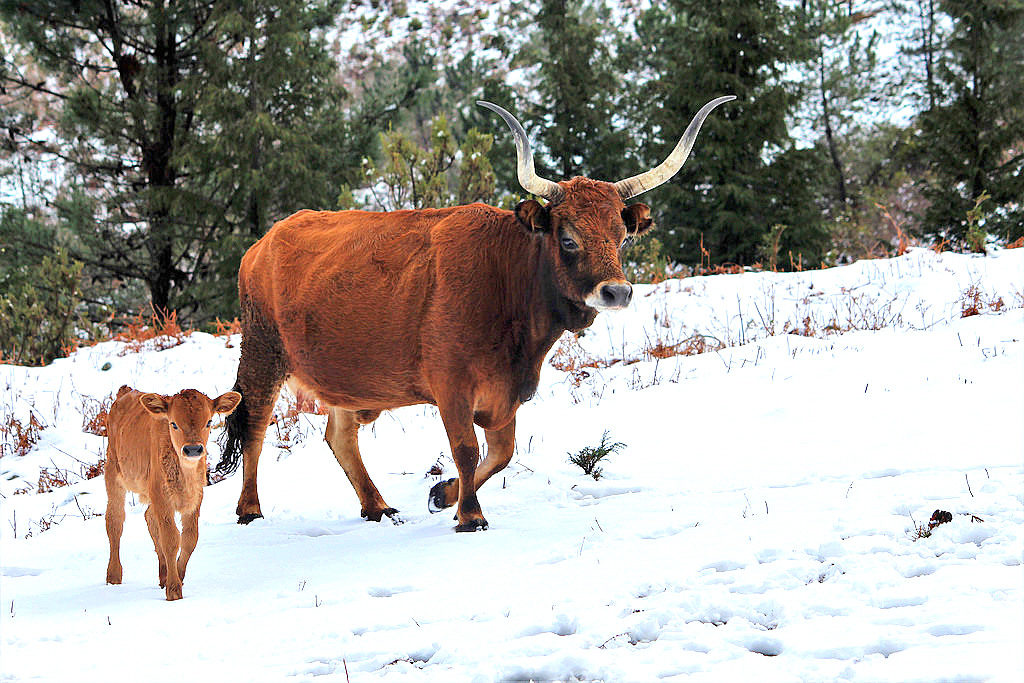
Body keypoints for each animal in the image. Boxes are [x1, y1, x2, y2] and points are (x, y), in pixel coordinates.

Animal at [104, 387, 240, 602]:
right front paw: (174, 591)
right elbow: (171, 539)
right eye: (173, 423)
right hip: (113, 475)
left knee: (149, 518)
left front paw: (178, 576)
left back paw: (162, 575)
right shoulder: (162, 497)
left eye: (209, 422)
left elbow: (189, 539)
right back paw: (114, 576)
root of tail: (126, 392)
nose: (193, 449)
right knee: (115, 522)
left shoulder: (195, 499)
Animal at [218, 96, 737, 532]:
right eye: (568, 238)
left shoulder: (506, 389)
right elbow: (466, 449)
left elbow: (502, 454)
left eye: (621, 236)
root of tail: (265, 242)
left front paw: (442, 495)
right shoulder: (451, 383)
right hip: (263, 353)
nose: (616, 291)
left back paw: (377, 506)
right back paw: (250, 510)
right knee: (255, 425)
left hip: (348, 376)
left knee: (340, 435)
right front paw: (470, 516)